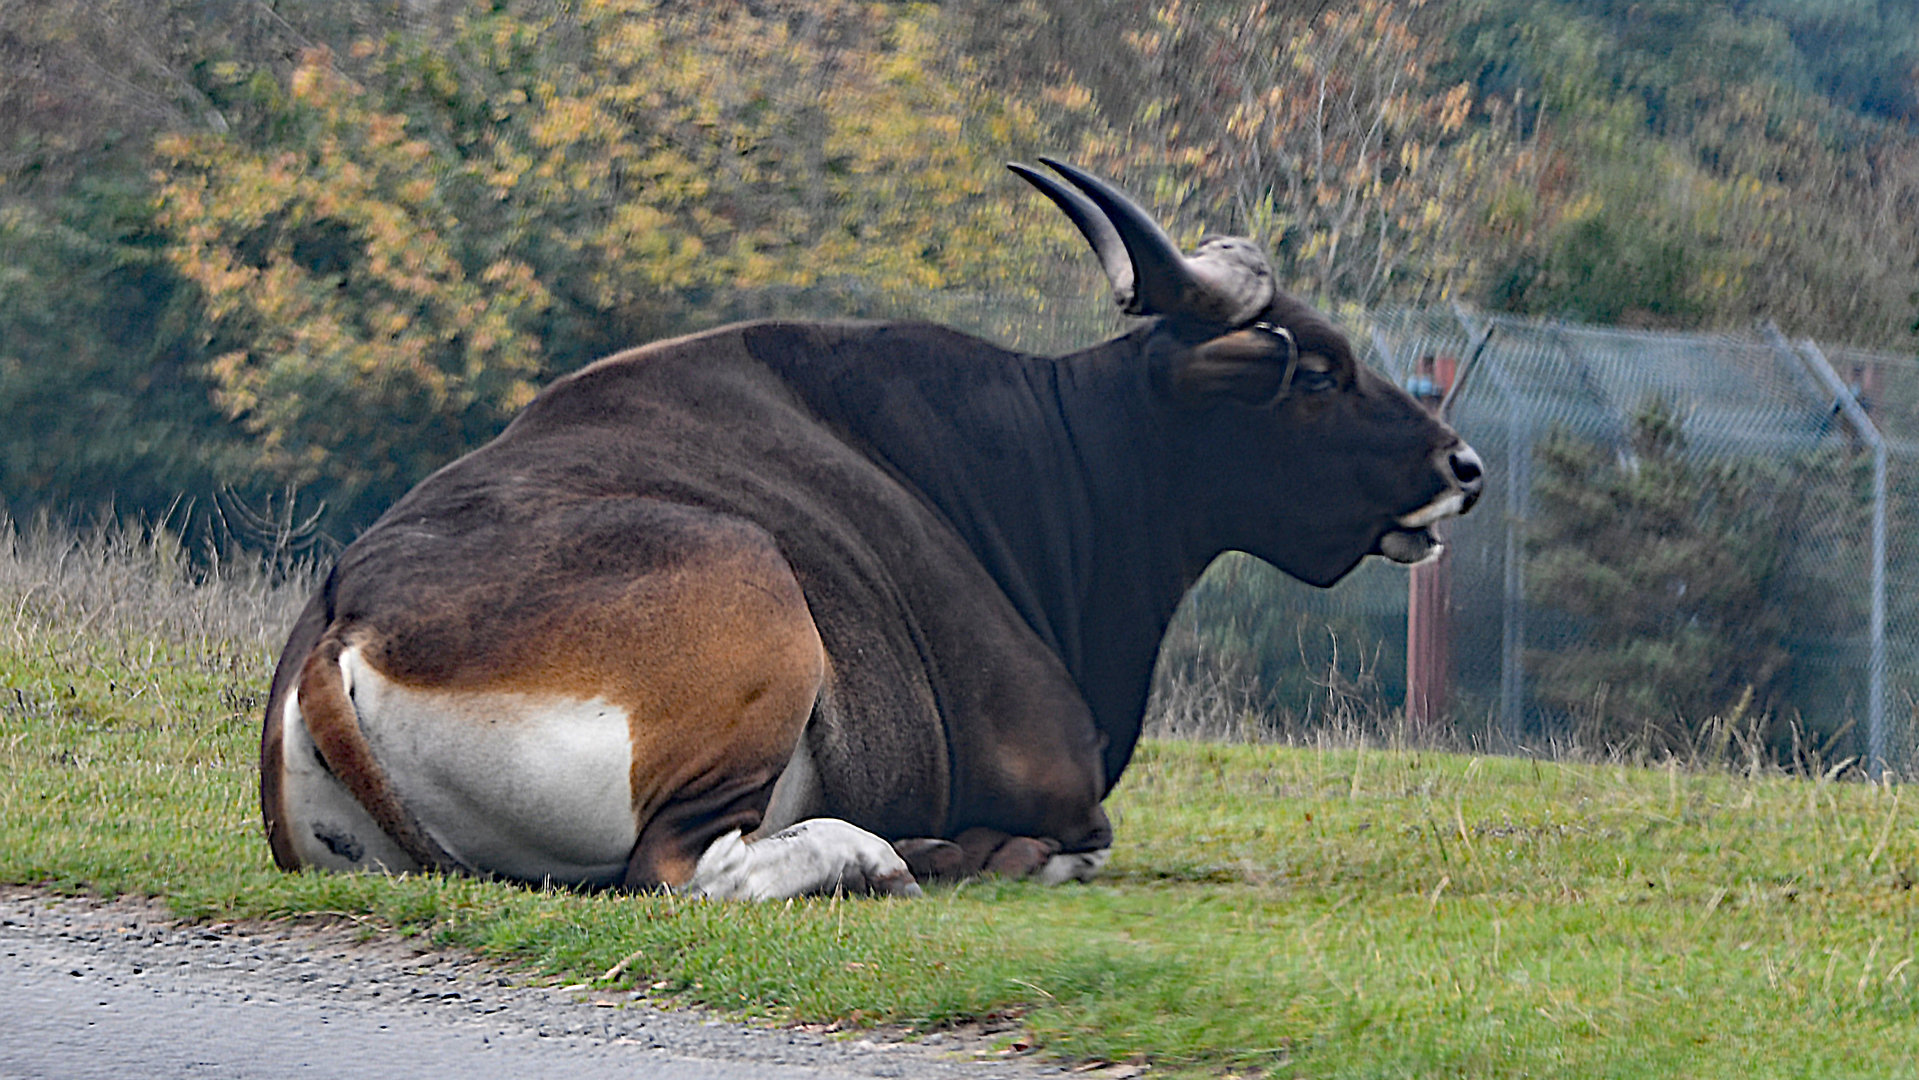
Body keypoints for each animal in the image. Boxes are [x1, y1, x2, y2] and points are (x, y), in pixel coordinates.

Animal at [258, 159, 1483, 900]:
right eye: (1316, 372)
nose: (1459, 467)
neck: (1047, 469)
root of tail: (342, 621)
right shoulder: (1064, 793)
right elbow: (1076, 845)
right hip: (750, 579)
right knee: (690, 869)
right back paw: (884, 855)